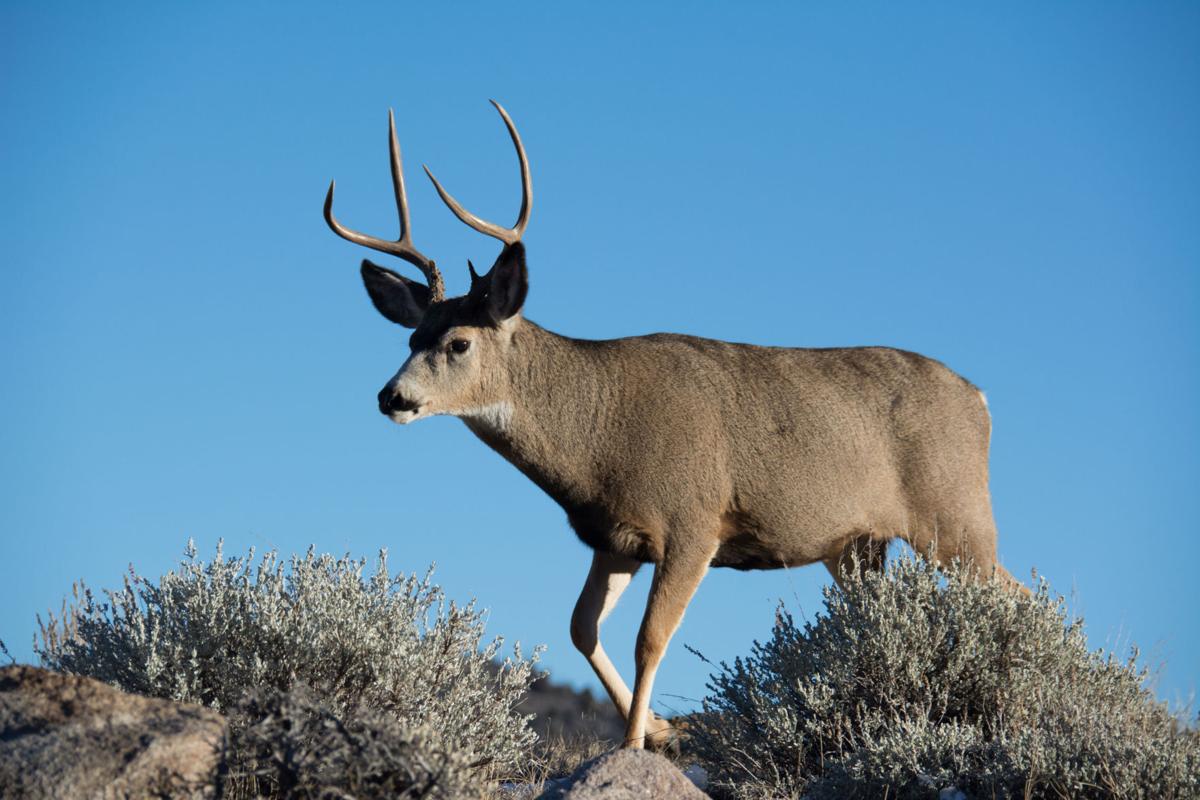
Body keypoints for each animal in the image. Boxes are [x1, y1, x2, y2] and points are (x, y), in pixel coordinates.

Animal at [321, 100, 1022, 753]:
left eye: (459, 343)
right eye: (412, 336)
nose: (391, 396)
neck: (597, 438)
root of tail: (981, 399)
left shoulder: (694, 519)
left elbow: (650, 638)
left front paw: (636, 743)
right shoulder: (617, 537)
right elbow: (581, 627)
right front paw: (662, 729)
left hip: (955, 515)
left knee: (1017, 596)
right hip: (857, 546)